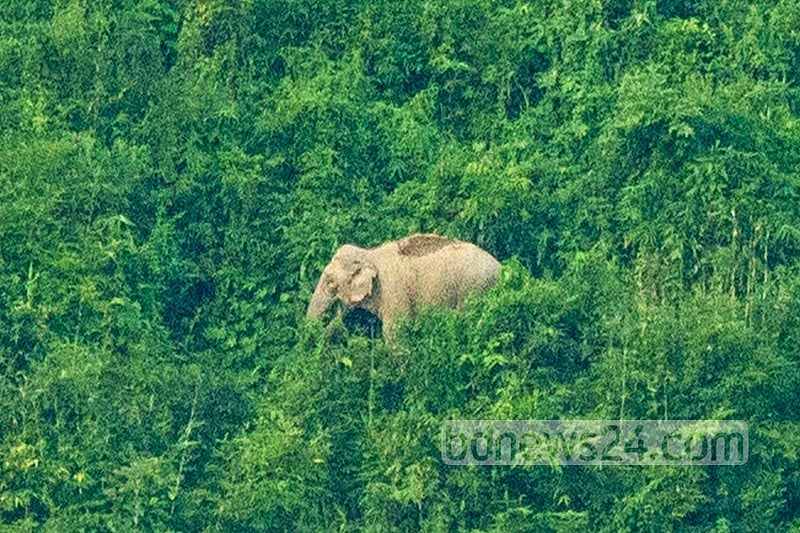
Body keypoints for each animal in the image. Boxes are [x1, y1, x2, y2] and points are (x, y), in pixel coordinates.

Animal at [306, 233, 501, 339]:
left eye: (330, 282)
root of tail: (501, 268)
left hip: (474, 290)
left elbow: (395, 332)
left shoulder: (392, 291)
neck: (369, 253)